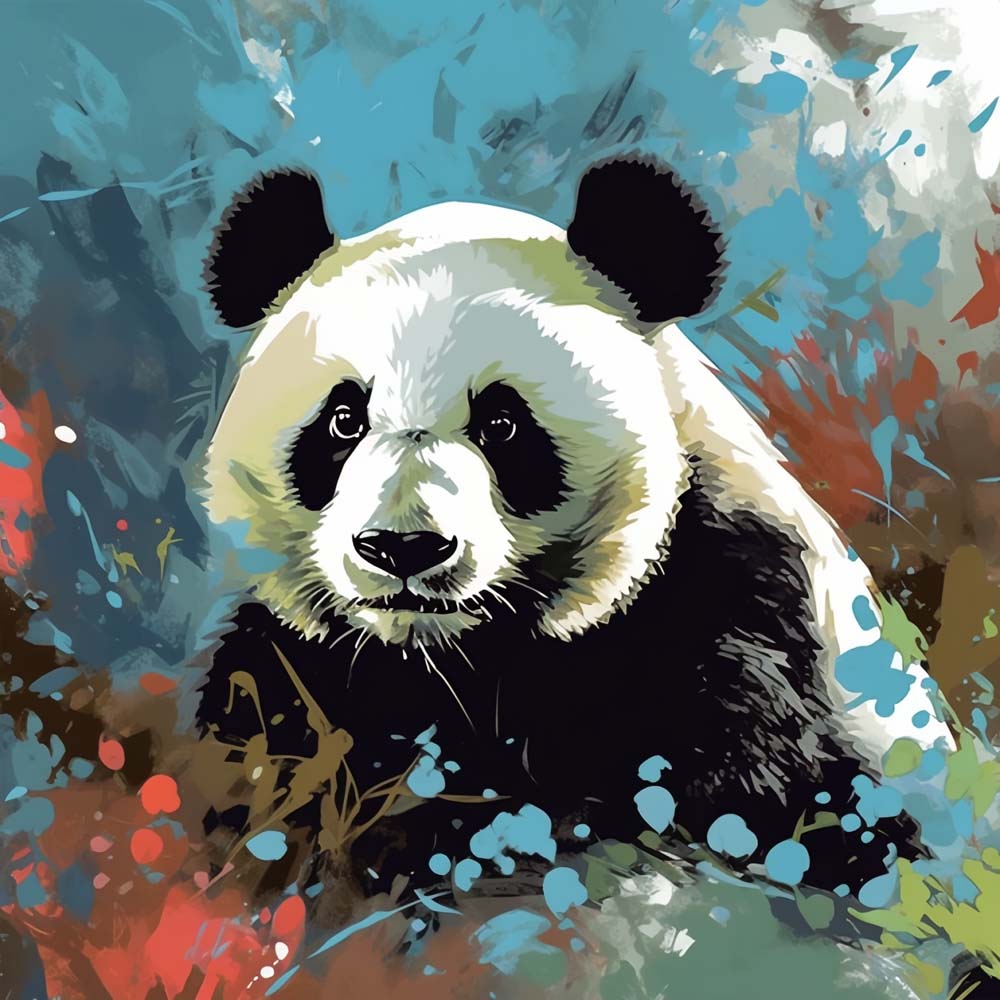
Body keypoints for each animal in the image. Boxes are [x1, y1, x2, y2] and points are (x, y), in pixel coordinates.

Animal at [194, 157, 953, 901]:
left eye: (502, 425)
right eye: (344, 420)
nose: (404, 547)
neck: (448, 659)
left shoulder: (732, 624)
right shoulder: (294, 669)